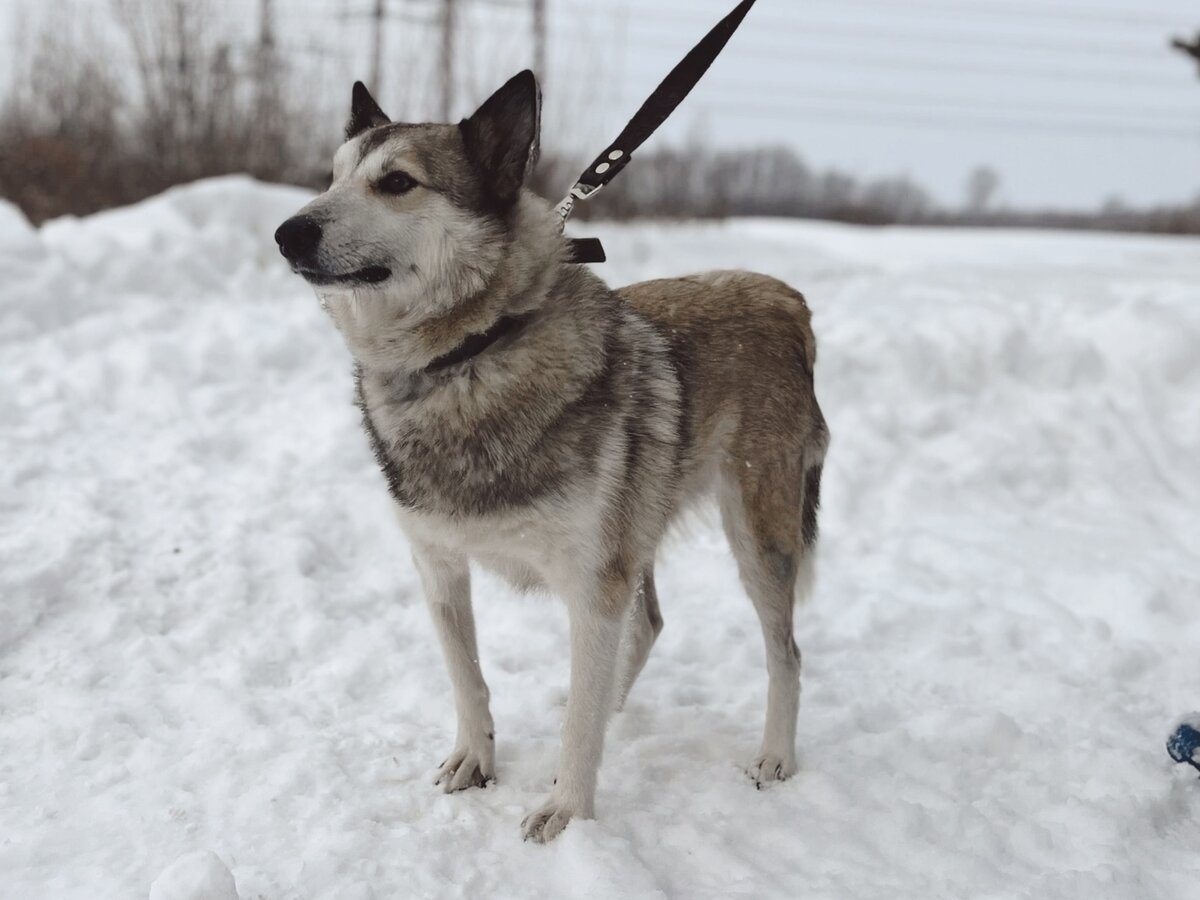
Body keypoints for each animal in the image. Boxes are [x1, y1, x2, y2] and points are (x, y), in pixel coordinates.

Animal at [276, 70, 830, 844]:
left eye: (397, 183)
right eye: (332, 177)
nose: (287, 232)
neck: (468, 354)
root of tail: (787, 299)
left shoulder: (591, 581)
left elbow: (576, 720)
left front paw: (567, 811)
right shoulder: (438, 566)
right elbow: (469, 680)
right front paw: (476, 762)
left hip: (757, 534)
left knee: (785, 655)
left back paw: (774, 756)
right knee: (647, 626)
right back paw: (615, 709)